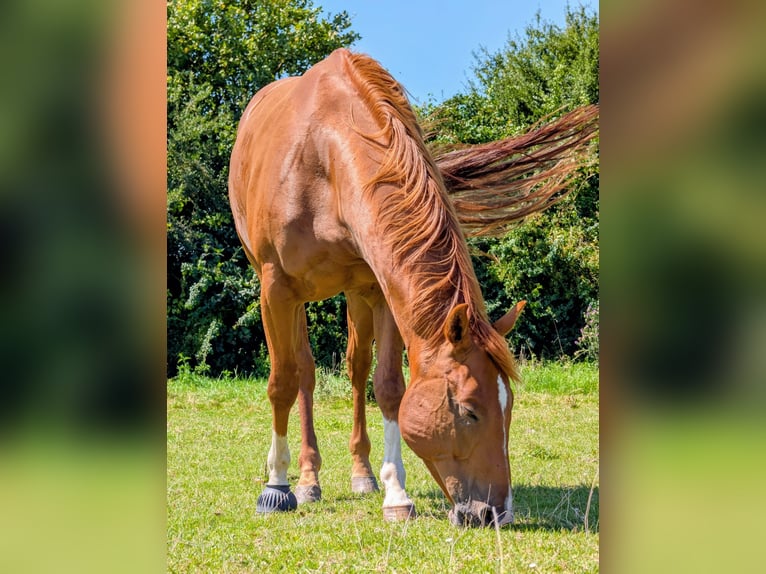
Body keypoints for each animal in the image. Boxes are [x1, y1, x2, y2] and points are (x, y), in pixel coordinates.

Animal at [229, 48, 597, 527]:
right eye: (469, 411)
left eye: (510, 406)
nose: (495, 513)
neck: (324, 158)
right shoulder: (276, 289)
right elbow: (282, 383)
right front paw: (276, 486)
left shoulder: (381, 289)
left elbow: (388, 386)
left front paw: (395, 495)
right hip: (292, 297)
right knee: (304, 373)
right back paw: (307, 480)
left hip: (355, 295)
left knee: (355, 368)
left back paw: (361, 474)